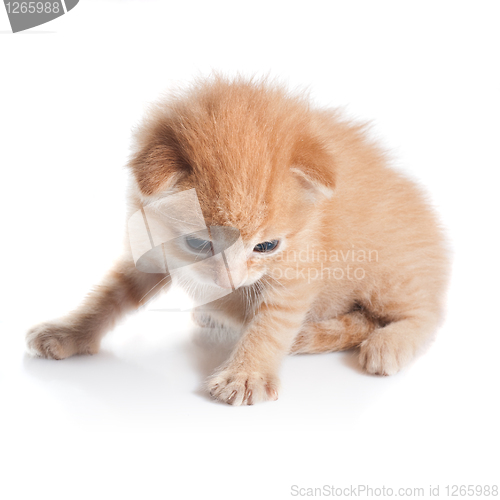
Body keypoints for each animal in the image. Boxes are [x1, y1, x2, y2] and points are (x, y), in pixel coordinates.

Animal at [26, 77, 450, 406]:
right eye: (198, 244)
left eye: (267, 247)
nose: (228, 283)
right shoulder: (151, 243)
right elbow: (109, 295)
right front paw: (69, 332)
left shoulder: (299, 269)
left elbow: (272, 322)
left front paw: (246, 374)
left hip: (391, 273)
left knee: (425, 314)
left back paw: (388, 343)